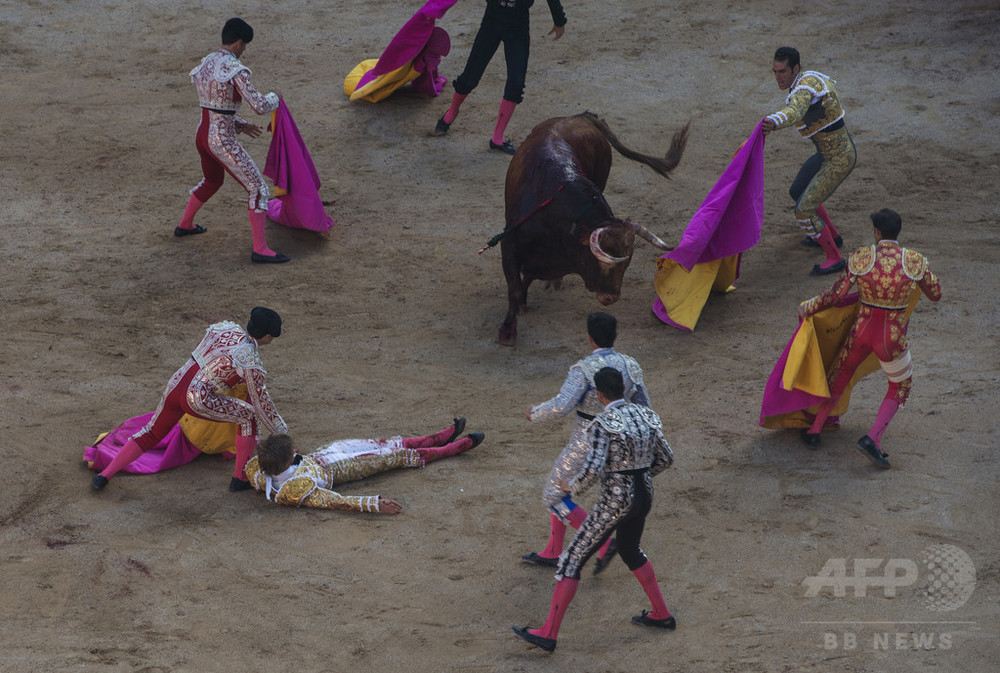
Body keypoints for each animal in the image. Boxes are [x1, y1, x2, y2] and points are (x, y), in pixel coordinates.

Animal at [498, 111, 688, 346]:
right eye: (604, 263)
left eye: (626, 265)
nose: (611, 298)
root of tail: (580, 116)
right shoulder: (509, 244)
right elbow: (515, 289)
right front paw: (508, 331)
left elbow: (528, 277)